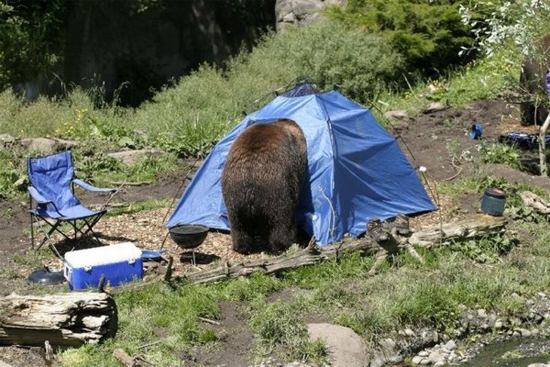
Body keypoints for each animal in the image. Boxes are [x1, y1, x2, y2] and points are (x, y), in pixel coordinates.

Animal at [221, 119, 308, 254]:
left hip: (232, 192)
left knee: (238, 223)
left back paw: (241, 246)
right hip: (277, 188)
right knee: (282, 219)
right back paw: (283, 245)